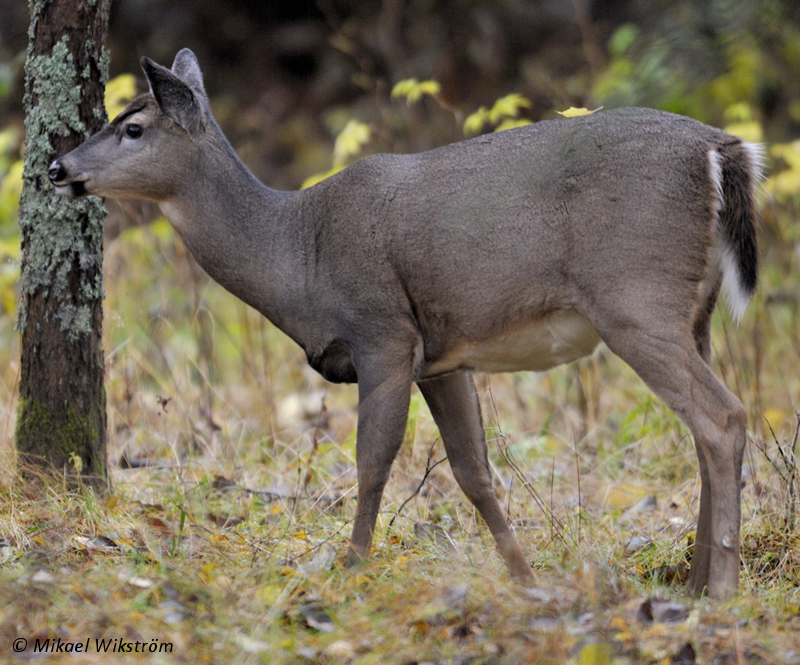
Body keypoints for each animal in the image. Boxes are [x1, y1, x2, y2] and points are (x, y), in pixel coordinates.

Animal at [50, 46, 764, 596]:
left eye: (135, 127)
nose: (58, 167)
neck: (297, 255)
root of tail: (717, 149)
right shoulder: (441, 357)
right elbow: (473, 472)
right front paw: (525, 578)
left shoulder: (383, 333)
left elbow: (371, 462)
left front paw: (350, 571)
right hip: (689, 312)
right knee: (705, 428)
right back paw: (696, 580)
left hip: (634, 298)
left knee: (723, 417)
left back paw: (722, 588)